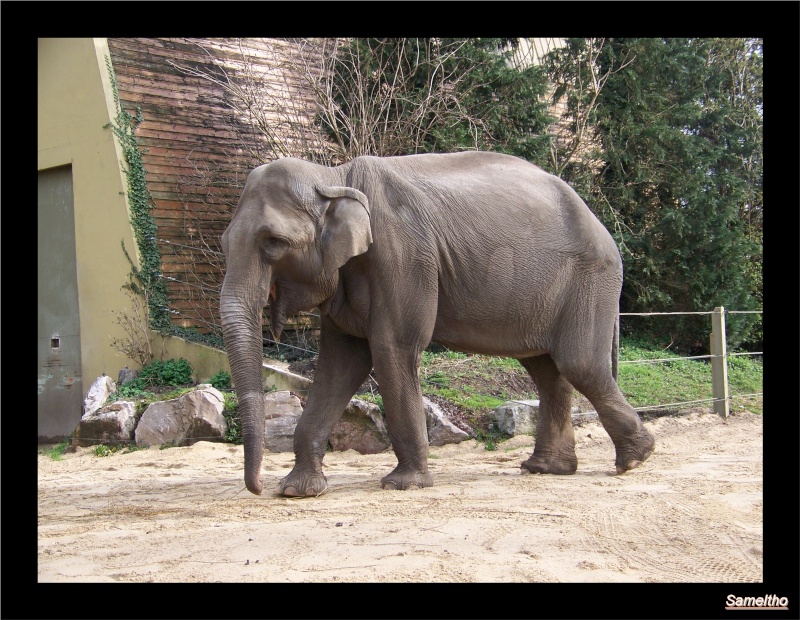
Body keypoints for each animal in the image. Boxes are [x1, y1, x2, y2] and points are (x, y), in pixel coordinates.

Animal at [216, 153, 652, 496]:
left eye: (274, 243)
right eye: (223, 243)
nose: (257, 488)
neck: (334, 176)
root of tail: (602, 225)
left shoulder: (403, 258)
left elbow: (392, 349)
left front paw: (403, 485)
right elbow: (341, 364)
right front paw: (297, 491)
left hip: (589, 281)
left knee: (578, 364)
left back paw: (634, 459)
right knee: (547, 370)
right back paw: (547, 469)